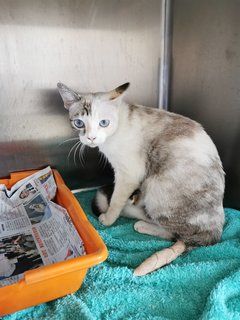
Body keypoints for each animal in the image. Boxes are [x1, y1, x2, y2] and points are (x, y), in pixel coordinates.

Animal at [57, 82, 225, 276]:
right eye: (79, 123)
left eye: (104, 123)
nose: (91, 138)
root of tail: (213, 234)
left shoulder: (129, 173)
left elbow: (116, 200)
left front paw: (108, 218)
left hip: (155, 188)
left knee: (174, 233)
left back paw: (141, 225)